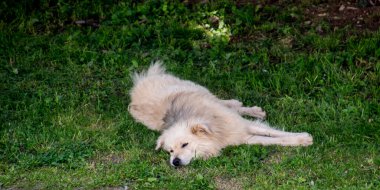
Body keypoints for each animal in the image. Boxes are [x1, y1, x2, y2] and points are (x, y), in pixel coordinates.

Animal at [127, 61, 312, 166]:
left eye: (185, 145)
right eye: (170, 151)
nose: (175, 162)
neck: (216, 132)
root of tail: (140, 83)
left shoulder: (243, 124)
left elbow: (274, 132)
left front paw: (303, 137)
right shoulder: (246, 138)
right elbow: (274, 140)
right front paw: (299, 140)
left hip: (198, 88)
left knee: (224, 102)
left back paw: (252, 109)